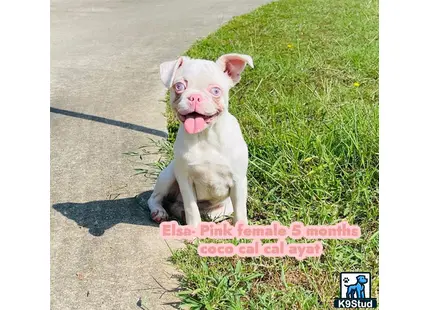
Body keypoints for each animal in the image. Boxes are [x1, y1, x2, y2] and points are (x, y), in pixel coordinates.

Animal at [147, 53, 252, 226]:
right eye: (179, 86)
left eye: (216, 91)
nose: (195, 97)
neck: (205, 136)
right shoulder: (185, 180)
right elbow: (191, 209)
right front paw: (194, 228)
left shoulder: (238, 181)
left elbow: (240, 211)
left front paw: (240, 228)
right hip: (168, 174)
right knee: (155, 198)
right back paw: (159, 212)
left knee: (214, 214)